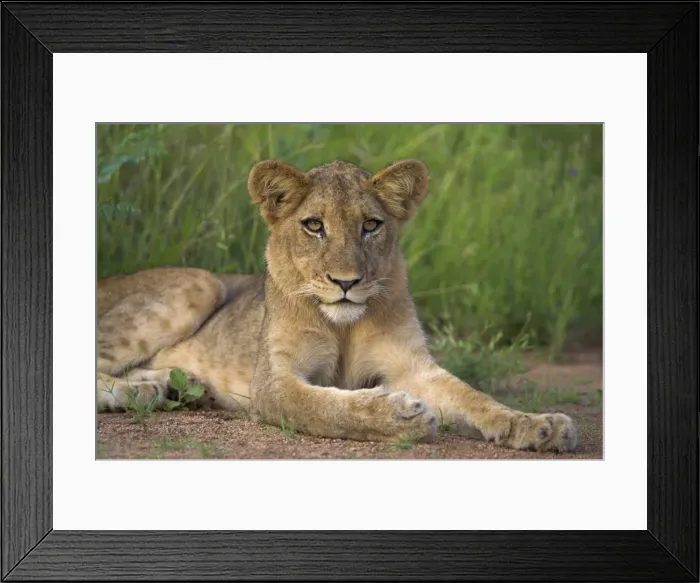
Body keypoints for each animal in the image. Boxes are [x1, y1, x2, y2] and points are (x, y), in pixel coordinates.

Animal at [97, 158, 578, 452]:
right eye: (314, 225)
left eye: (370, 225)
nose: (346, 282)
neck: (343, 325)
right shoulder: (272, 383)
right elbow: (327, 407)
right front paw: (399, 414)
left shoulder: (413, 367)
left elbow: (475, 397)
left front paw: (539, 424)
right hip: (200, 282)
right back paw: (138, 392)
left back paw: (167, 385)